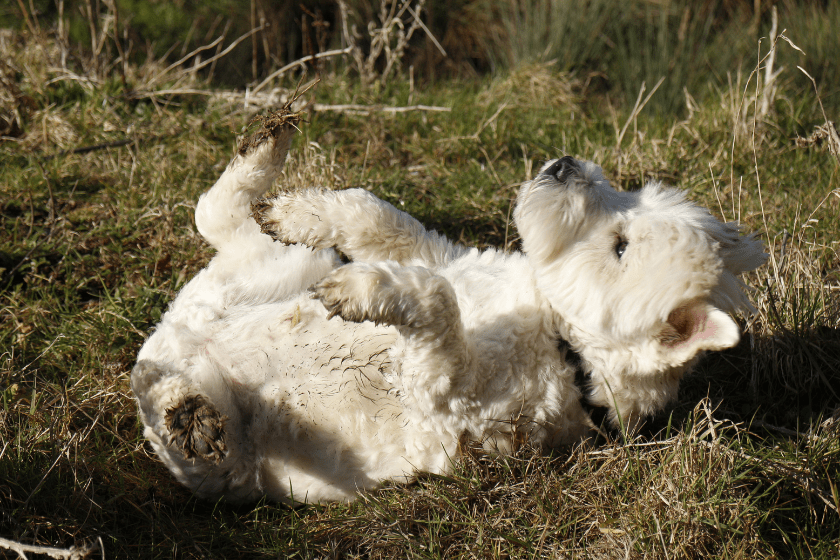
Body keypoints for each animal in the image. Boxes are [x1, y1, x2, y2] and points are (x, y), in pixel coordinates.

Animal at [131, 109, 768, 504]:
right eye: (629, 195)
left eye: (620, 247)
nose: (566, 165)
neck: (553, 326)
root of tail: (172, 345)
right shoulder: (441, 255)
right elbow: (378, 218)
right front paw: (305, 211)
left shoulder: (448, 392)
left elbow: (433, 298)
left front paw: (359, 290)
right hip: (272, 269)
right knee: (216, 213)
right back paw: (269, 147)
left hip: (229, 462)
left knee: (189, 411)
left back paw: (191, 416)